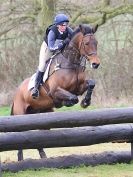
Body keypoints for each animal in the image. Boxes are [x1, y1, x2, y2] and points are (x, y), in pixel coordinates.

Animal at [10, 23, 100, 160]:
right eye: (86, 43)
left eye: (96, 43)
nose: (96, 64)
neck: (70, 62)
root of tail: (16, 93)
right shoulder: (55, 91)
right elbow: (73, 98)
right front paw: (66, 103)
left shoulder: (78, 88)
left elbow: (91, 84)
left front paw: (85, 102)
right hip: (21, 114)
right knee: (21, 134)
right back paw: (20, 159)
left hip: (41, 113)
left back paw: (43, 156)